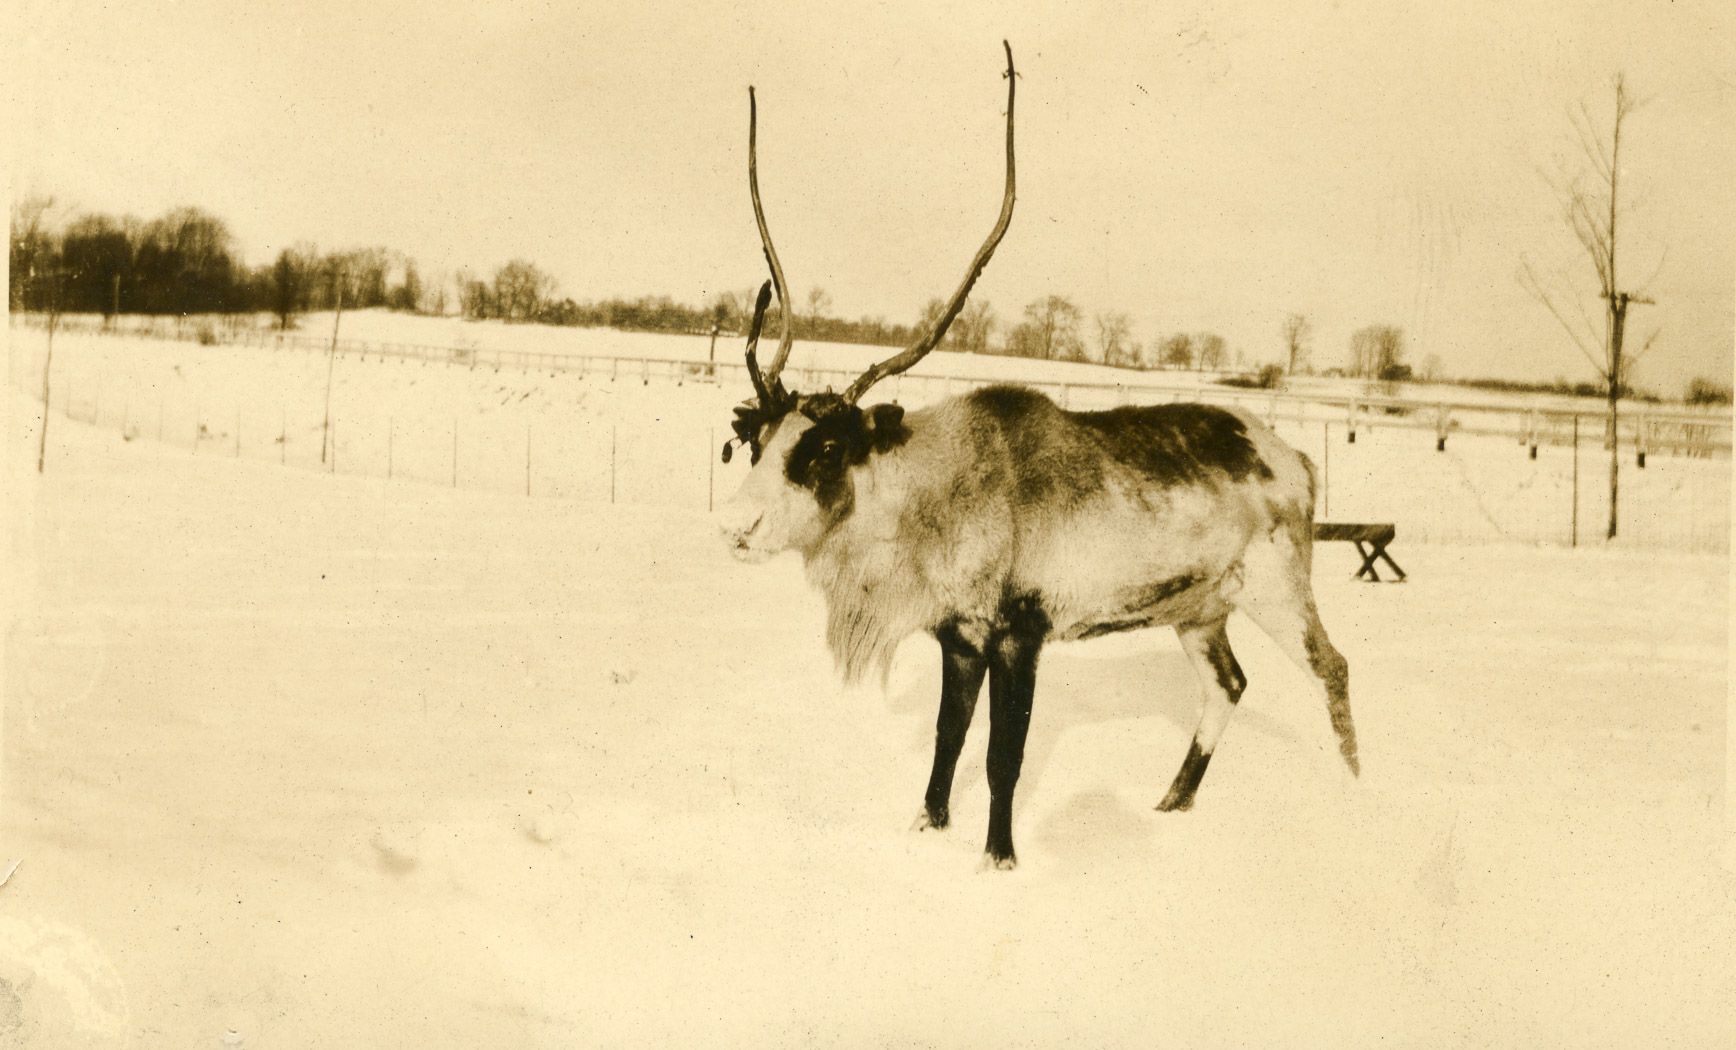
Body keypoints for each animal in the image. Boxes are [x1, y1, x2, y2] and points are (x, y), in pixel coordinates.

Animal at [716, 42, 1358, 870]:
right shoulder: (959, 636)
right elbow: (948, 738)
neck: (936, 489)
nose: (737, 527)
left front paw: (999, 857)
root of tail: (1299, 461)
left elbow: (1004, 755)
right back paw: (1170, 804)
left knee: (1331, 669)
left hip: (1280, 590)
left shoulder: (1021, 633)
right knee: (1230, 684)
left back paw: (1350, 795)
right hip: (1199, 610)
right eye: (758, 442)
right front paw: (927, 825)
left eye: (825, 446)